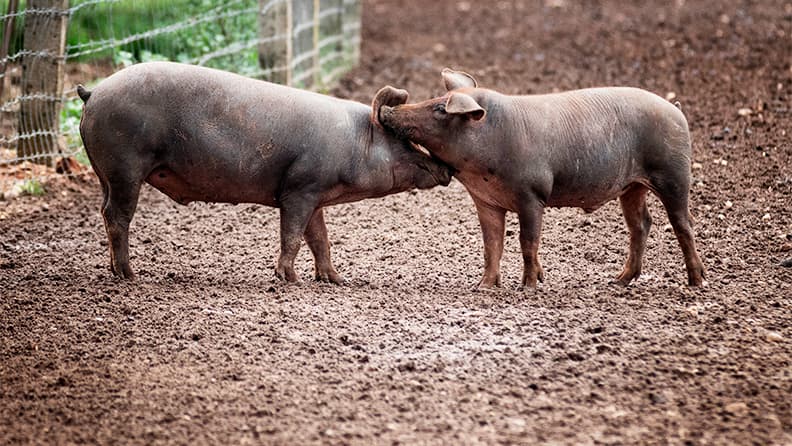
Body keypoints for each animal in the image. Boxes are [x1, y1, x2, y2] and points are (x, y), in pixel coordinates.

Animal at [79, 61, 452, 284]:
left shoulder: (315, 196)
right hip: (125, 165)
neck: (353, 142)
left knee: (104, 210)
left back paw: (117, 271)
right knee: (117, 215)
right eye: (404, 141)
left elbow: (320, 239)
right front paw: (290, 279)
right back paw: (130, 275)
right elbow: (293, 236)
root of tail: (92, 92)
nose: (446, 169)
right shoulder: (299, 188)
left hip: (105, 172)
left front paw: (336, 280)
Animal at [376, 68, 704, 288]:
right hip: (632, 186)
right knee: (641, 224)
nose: (389, 109)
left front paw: (528, 286)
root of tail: (675, 110)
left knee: (683, 223)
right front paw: (483, 287)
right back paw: (618, 281)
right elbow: (491, 245)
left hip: (673, 174)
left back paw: (696, 282)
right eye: (437, 98)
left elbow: (527, 241)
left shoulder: (532, 194)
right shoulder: (486, 201)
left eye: (440, 108)